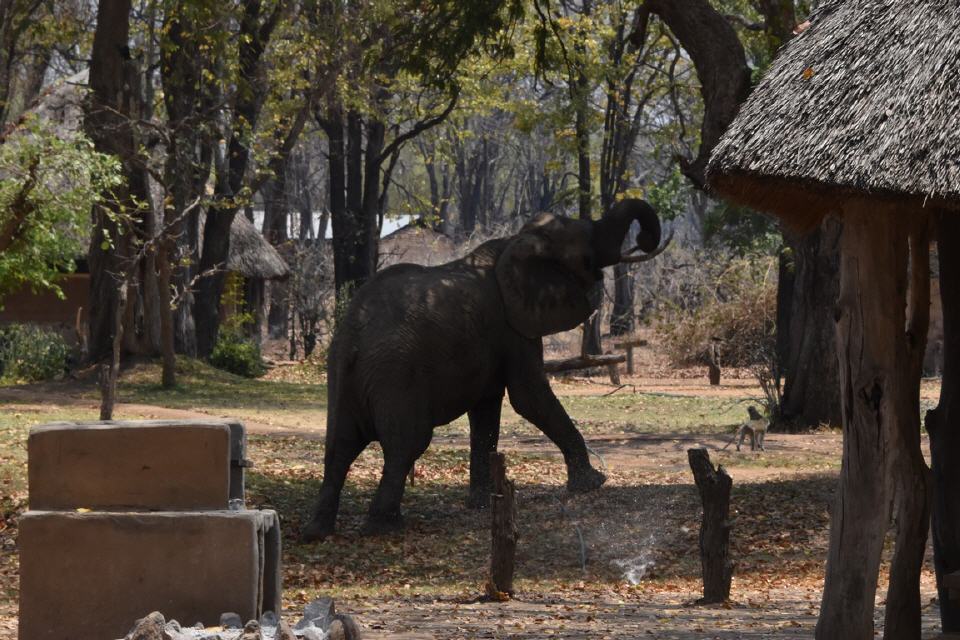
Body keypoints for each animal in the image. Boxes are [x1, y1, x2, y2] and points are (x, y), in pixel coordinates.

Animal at [304, 199, 664, 540]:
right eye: (587, 256)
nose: (644, 239)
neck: (517, 241)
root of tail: (354, 335)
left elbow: (486, 412)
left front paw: (483, 503)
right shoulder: (512, 326)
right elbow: (528, 397)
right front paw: (595, 483)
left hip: (342, 375)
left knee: (339, 447)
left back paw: (318, 532)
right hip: (396, 374)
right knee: (406, 444)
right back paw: (384, 527)